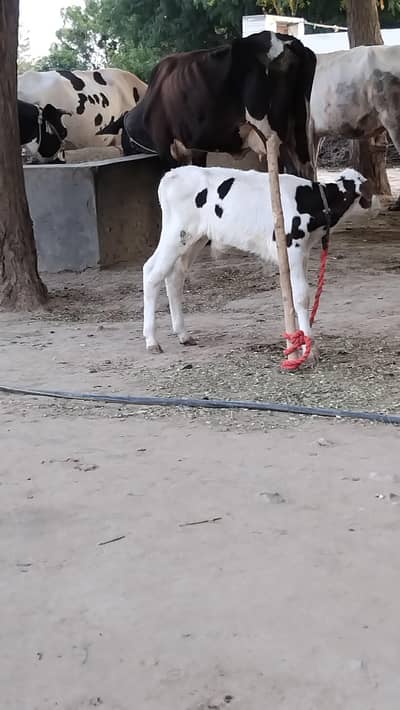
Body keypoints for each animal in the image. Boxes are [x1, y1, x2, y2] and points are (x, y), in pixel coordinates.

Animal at [99, 31, 316, 177]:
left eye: (125, 140)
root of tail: (288, 41)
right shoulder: (196, 149)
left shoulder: (165, 147)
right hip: (301, 133)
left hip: (272, 135)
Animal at [142, 165, 372, 361]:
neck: (312, 200)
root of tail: (173, 173)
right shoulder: (293, 249)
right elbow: (301, 296)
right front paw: (311, 349)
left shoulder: (303, 253)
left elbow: (293, 295)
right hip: (177, 233)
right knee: (152, 272)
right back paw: (152, 341)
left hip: (195, 238)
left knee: (175, 275)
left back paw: (183, 334)